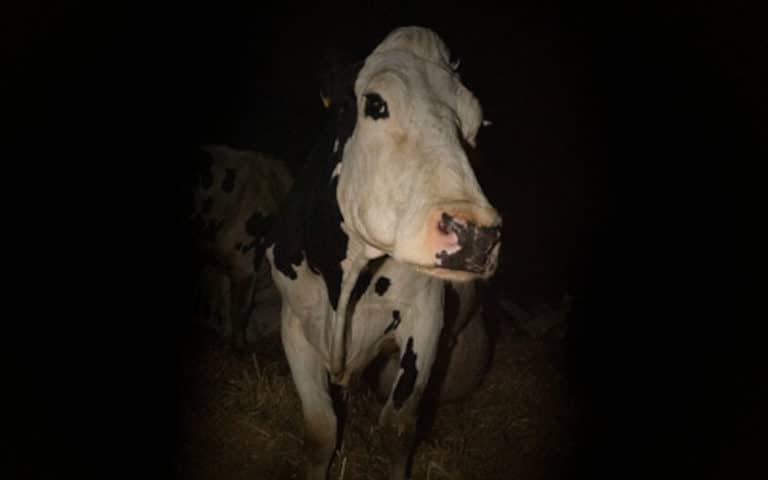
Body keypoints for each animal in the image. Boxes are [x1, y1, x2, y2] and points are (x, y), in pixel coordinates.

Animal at [264, 26, 502, 479]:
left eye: (476, 124)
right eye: (376, 103)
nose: (476, 234)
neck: (345, 283)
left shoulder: (425, 318)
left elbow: (397, 427)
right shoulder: (294, 321)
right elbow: (320, 430)